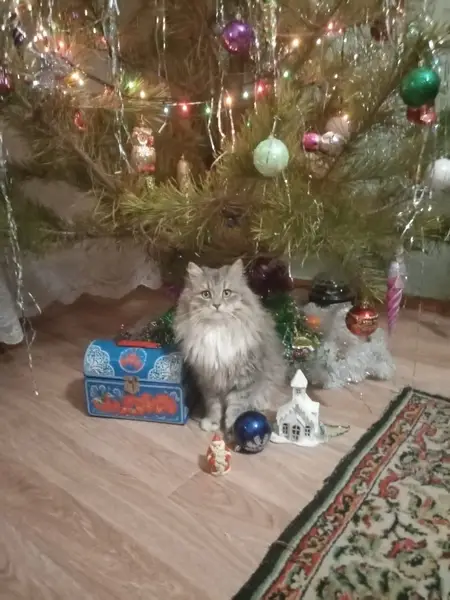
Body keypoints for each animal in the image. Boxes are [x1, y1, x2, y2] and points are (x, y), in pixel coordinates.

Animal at [173, 258, 289, 432]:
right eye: (206, 294)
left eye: (226, 293)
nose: (216, 305)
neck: (217, 330)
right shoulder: (209, 382)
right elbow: (213, 406)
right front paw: (212, 422)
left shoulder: (244, 379)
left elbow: (236, 406)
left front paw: (234, 425)